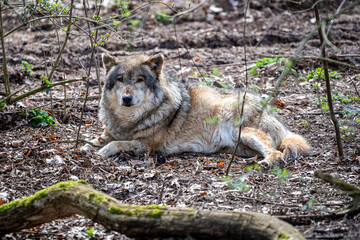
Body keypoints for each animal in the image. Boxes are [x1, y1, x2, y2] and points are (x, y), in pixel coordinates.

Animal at [81, 53, 310, 168]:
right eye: (120, 79)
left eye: (139, 80)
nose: (126, 98)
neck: (129, 120)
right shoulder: (107, 133)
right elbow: (91, 143)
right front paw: (81, 150)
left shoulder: (147, 146)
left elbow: (115, 144)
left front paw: (100, 154)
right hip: (238, 145)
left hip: (242, 132)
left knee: (277, 152)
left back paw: (267, 163)